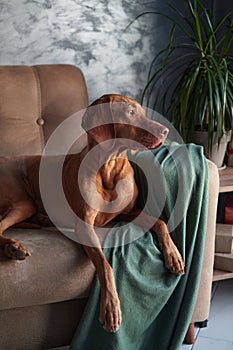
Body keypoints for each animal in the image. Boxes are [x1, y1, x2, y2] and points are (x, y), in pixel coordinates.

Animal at [0, 94, 184, 332]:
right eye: (130, 112)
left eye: (142, 112)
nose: (165, 131)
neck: (109, 167)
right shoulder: (85, 225)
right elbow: (105, 265)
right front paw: (111, 307)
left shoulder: (128, 213)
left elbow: (160, 221)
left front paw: (173, 255)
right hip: (24, 202)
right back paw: (14, 247)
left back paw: (42, 220)